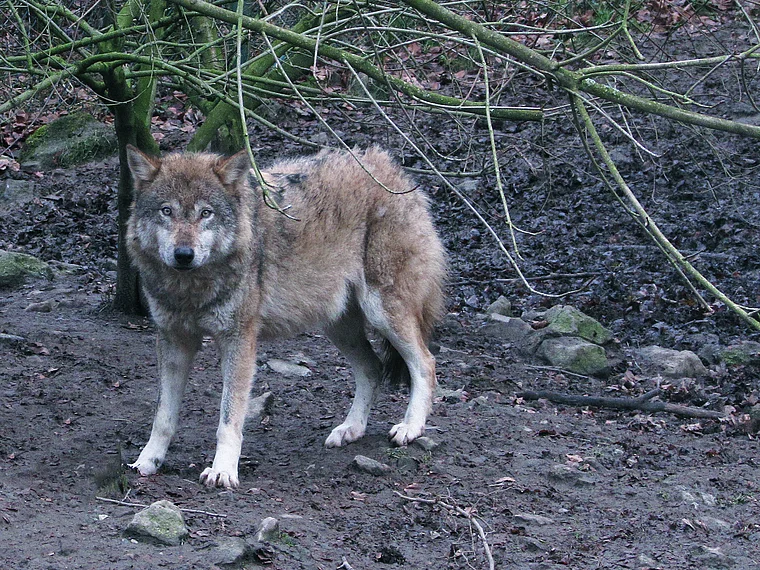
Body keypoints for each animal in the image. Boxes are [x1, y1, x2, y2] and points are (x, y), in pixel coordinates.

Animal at [125, 144, 446, 489]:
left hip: (383, 312)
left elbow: (228, 418)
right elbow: (163, 417)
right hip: (338, 326)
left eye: (205, 213)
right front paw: (148, 461)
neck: (190, 289)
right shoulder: (173, 341)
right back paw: (351, 429)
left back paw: (410, 428)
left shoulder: (239, 340)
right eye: (166, 211)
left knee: (425, 363)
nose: (183, 254)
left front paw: (223, 470)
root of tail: (391, 167)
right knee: (373, 368)